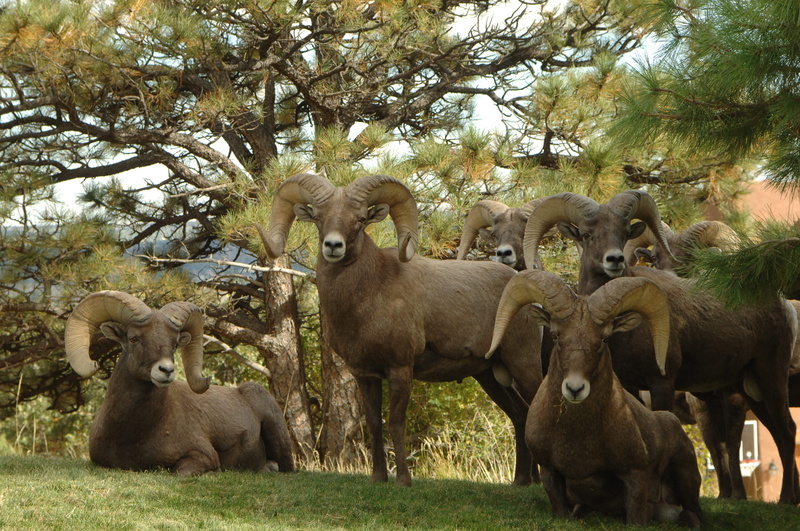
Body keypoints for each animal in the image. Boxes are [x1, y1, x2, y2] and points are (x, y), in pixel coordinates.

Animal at [258, 173, 543, 487]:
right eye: (319, 218)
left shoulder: (400, 370)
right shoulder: (365, 374)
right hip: (490, 376)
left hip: (523, 364)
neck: (370, 294)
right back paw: (521, 481)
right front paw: (378, 478)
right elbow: (374, 423)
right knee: (520, 416)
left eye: (360, 219)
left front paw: (403, 480)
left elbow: (396, 421)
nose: (333, 246)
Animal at [487, 270, 703, 527]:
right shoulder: (550, 473)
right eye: (555, 335)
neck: (578, 439)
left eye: (604, 339)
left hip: (685, 472)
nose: (575, 388)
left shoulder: (636, 476)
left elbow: (635, 517)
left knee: (692, 512)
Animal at [523, 190, 800, 504]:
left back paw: (786, 500)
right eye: (586, 234)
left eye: (623, 232)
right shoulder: (630, 387)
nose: (615, 259)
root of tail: (783, 306)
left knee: (787, 431)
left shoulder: (662, 382)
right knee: (778, 432)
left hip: (769, 377)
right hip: (750, 390)